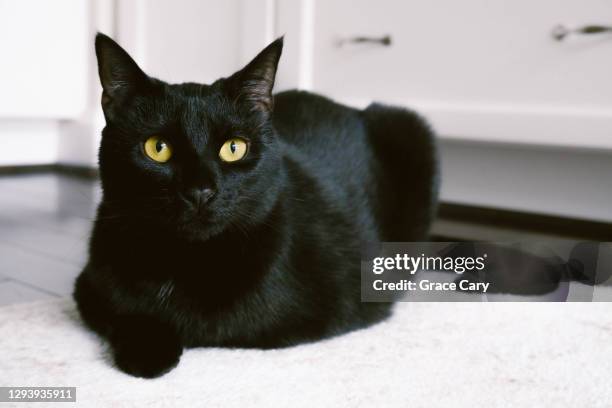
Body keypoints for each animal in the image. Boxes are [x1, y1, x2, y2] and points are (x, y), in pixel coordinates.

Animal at [74, 33, 438, 378]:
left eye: (233, 148)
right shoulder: (89, 286)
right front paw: (147, 349)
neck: (187, 260)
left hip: (409, 127)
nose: (200, 191)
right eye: (157, 148)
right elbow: (124, 312)